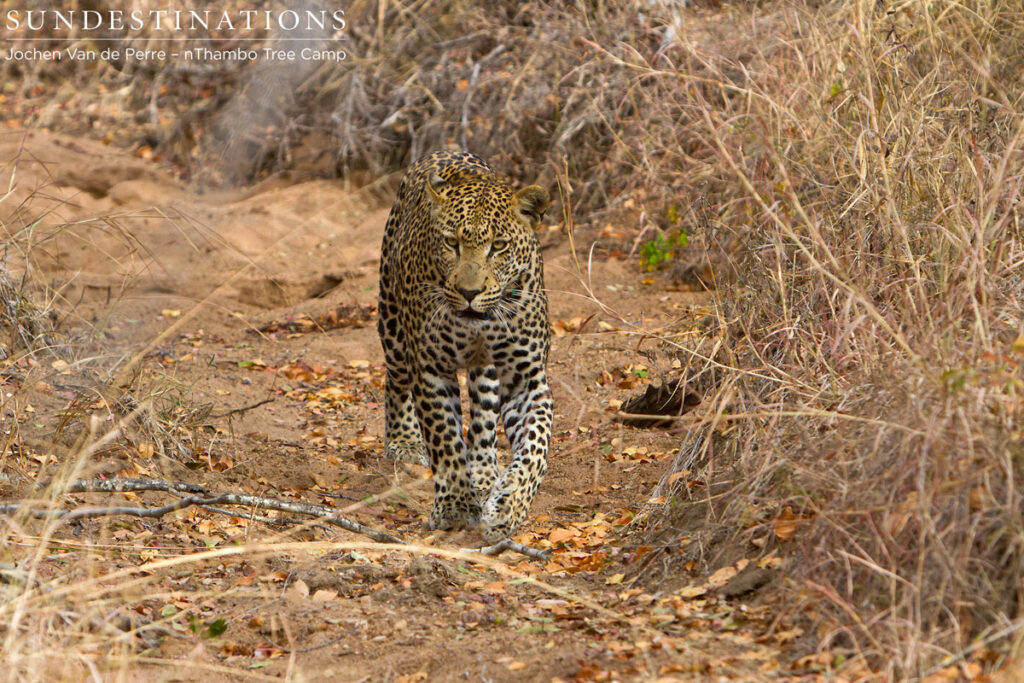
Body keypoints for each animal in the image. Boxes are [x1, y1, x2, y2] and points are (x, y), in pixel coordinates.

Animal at [377, 149, 553, 542]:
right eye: (451, 243)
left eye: (498, 246)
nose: (469, 292)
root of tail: (445, 150)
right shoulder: (431, 369)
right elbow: (444, 437)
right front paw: (456, 506)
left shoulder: (527, 378)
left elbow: (536, 446)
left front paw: (509, 505)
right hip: (392, 326)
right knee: (396, 381)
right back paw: (403, 440)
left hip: (486, 372)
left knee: (484, 420)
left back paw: (486, 475)